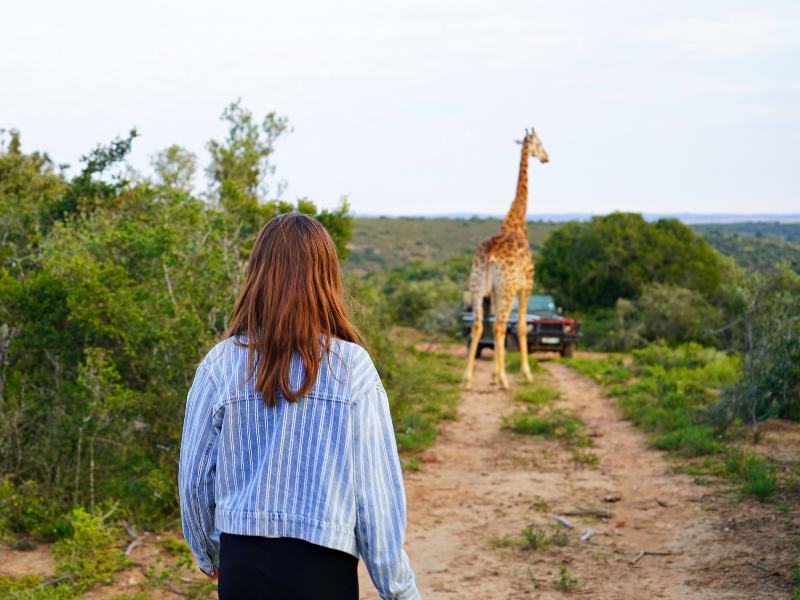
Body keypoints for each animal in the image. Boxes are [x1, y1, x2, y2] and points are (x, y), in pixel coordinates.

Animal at [463, 128, 549, 390]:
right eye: (539, 143)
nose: (546, 158)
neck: (517, 224)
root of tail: (490, 254)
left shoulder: (491, 292)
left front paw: (493, 374)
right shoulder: (526, 286)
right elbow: (520, 327)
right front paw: (525, 373)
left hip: (477, 286)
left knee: (479, 324)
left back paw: (468, 379)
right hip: (507, 288)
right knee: (501, 325)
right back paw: (503, 380)